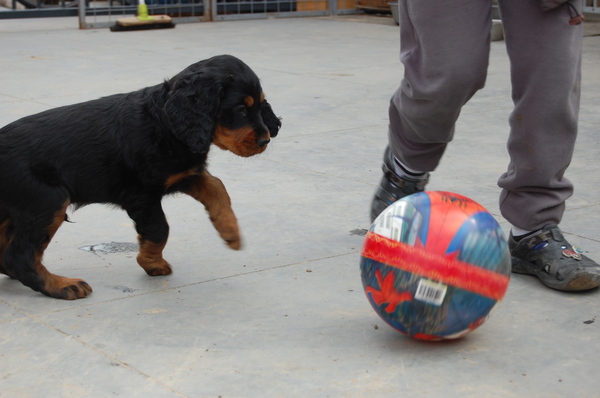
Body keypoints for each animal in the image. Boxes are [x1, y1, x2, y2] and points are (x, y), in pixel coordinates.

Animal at [0, 55, 282, 298]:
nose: (265, 140)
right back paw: (62, 285)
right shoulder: (141, 194)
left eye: (260, 105)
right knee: (20, 256)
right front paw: (151, 263)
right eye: (240, 109)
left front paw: (230, 231)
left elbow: (217, 186)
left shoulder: (183, 173)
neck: (163, 123)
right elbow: (159, 228)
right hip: (48, 201)